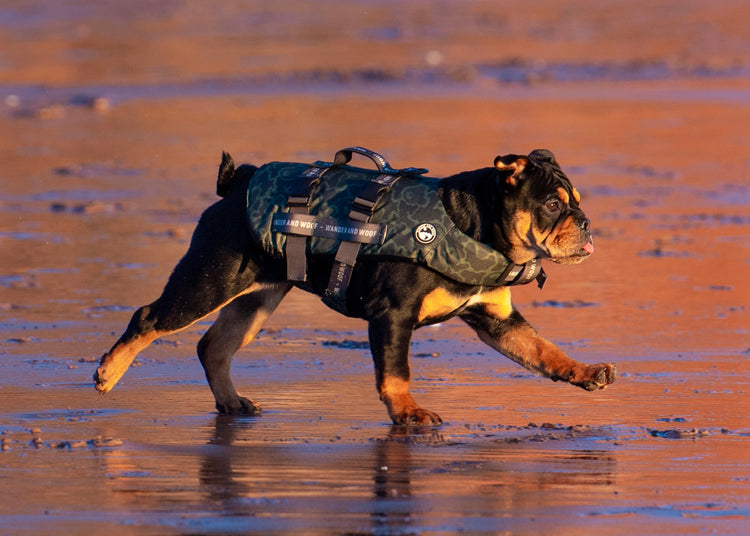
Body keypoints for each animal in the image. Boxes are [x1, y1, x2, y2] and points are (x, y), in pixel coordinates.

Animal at [95, 149, 616, 426]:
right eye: (552, 204)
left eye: (576, 203)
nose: (586, 222)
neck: (477, 226)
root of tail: (236, 182)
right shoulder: (393, 315)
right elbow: (396, 372)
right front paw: (408, 413)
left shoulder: (498, 320)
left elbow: (543, 350)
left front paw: (585, 371)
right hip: (208, 282)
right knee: (149, 318)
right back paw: (107, 374)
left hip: (255, 301)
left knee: (214, 347)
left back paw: (231, 401)